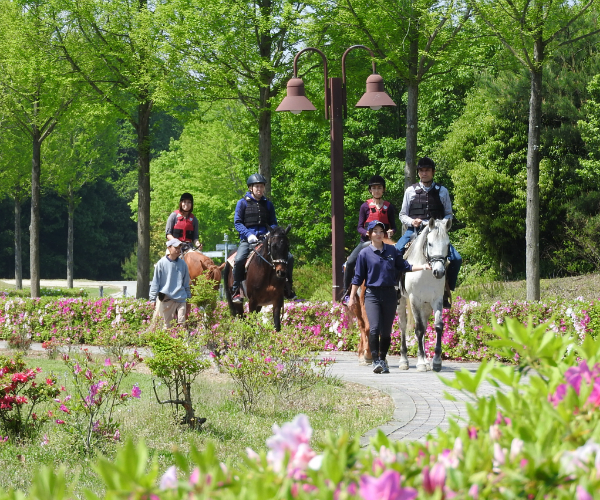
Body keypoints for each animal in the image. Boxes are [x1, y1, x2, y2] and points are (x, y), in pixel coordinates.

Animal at [398, 218, 450, 372]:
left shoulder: (437, 299)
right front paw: (420, 362)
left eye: (447, 244)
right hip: (402, 301)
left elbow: (438, 326)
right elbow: (419, 329)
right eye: (430, 243)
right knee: (403, 325)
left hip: (426, 305)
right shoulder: (414, 299)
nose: (439, 272)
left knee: (425, 324)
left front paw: (436, 361)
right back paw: (404, 360)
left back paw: (426, 361)